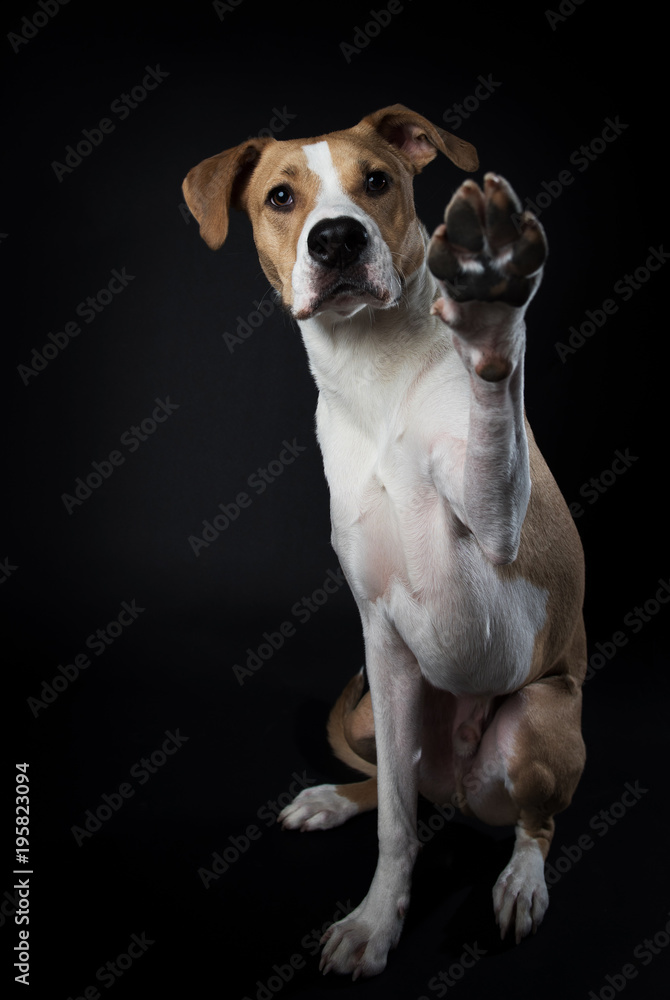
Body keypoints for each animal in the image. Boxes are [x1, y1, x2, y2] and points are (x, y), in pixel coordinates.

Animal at [184, 105, 588, 980]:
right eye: (279, 196)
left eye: (376, 181)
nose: (336, 238)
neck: (374, 370)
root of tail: (463, 787)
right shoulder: (383, 634)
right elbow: (397, 825)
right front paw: (375, 921)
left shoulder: (498, 565)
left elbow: (491, 421)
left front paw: (490, 315)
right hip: (379, 705)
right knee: (408, 791)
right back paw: (335, 799)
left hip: (538, 720)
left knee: (535, 823)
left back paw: (521, 883)